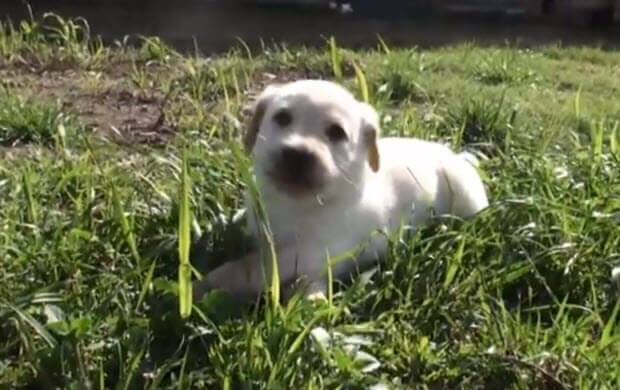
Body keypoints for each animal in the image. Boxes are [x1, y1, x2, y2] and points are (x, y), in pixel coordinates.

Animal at [196, 79, 486, 298]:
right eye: (282, 118)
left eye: (336, 133)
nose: (297, 155)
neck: (294, 204)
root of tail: (457, 156)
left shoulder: (308, 250)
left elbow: (252, 266)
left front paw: (204, 284)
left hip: (467, 200)